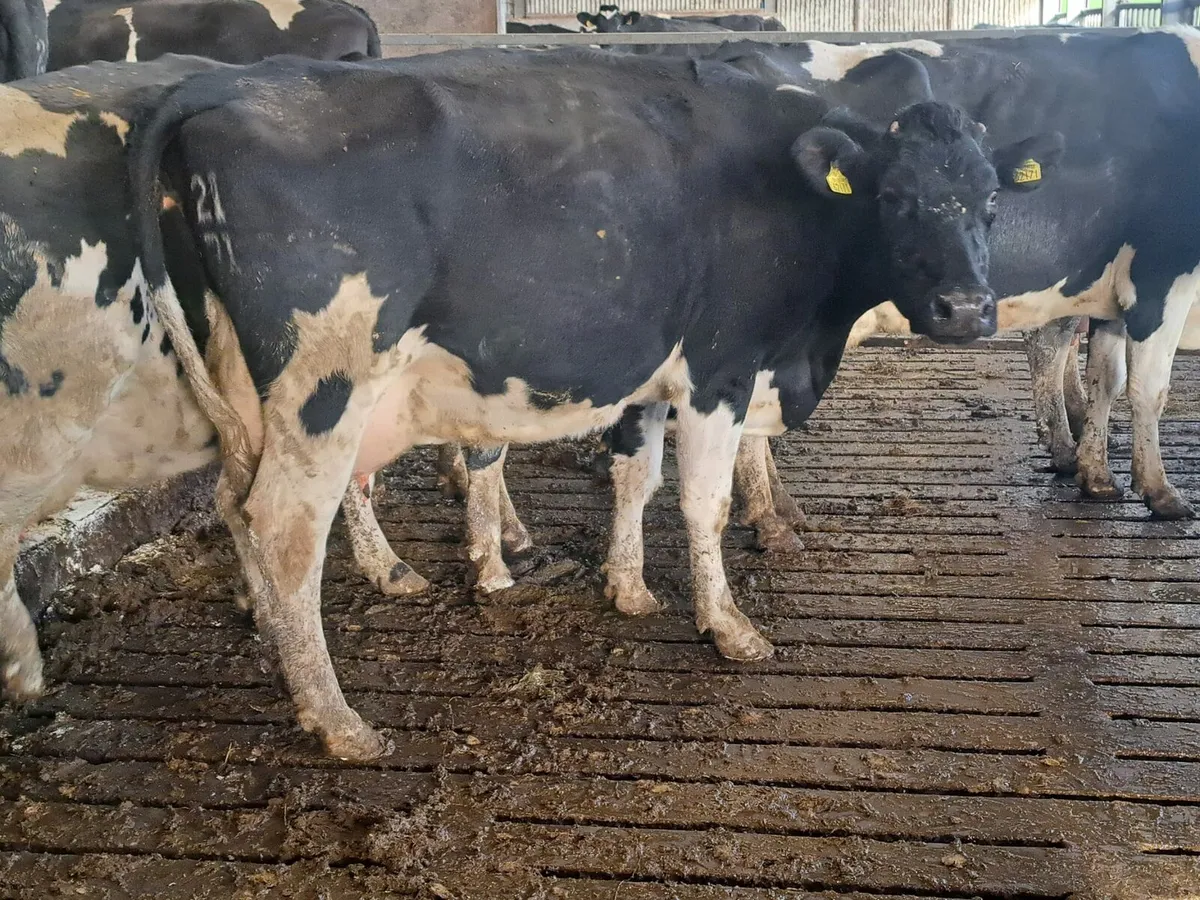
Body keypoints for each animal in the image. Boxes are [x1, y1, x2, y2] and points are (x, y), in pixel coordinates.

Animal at [127, 48, 1050, 758]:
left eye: (991, 202)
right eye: (895, 199)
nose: (967, 309)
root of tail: (230, 84)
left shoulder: (651, 372)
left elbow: (635, 479)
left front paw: (629, 588)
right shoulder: (720, 367)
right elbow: (705, 503)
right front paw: (728, 627)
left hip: (243, 385)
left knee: (234, 503)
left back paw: (268, 635)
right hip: (327, 385)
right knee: (285, 528)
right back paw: (337, 720)